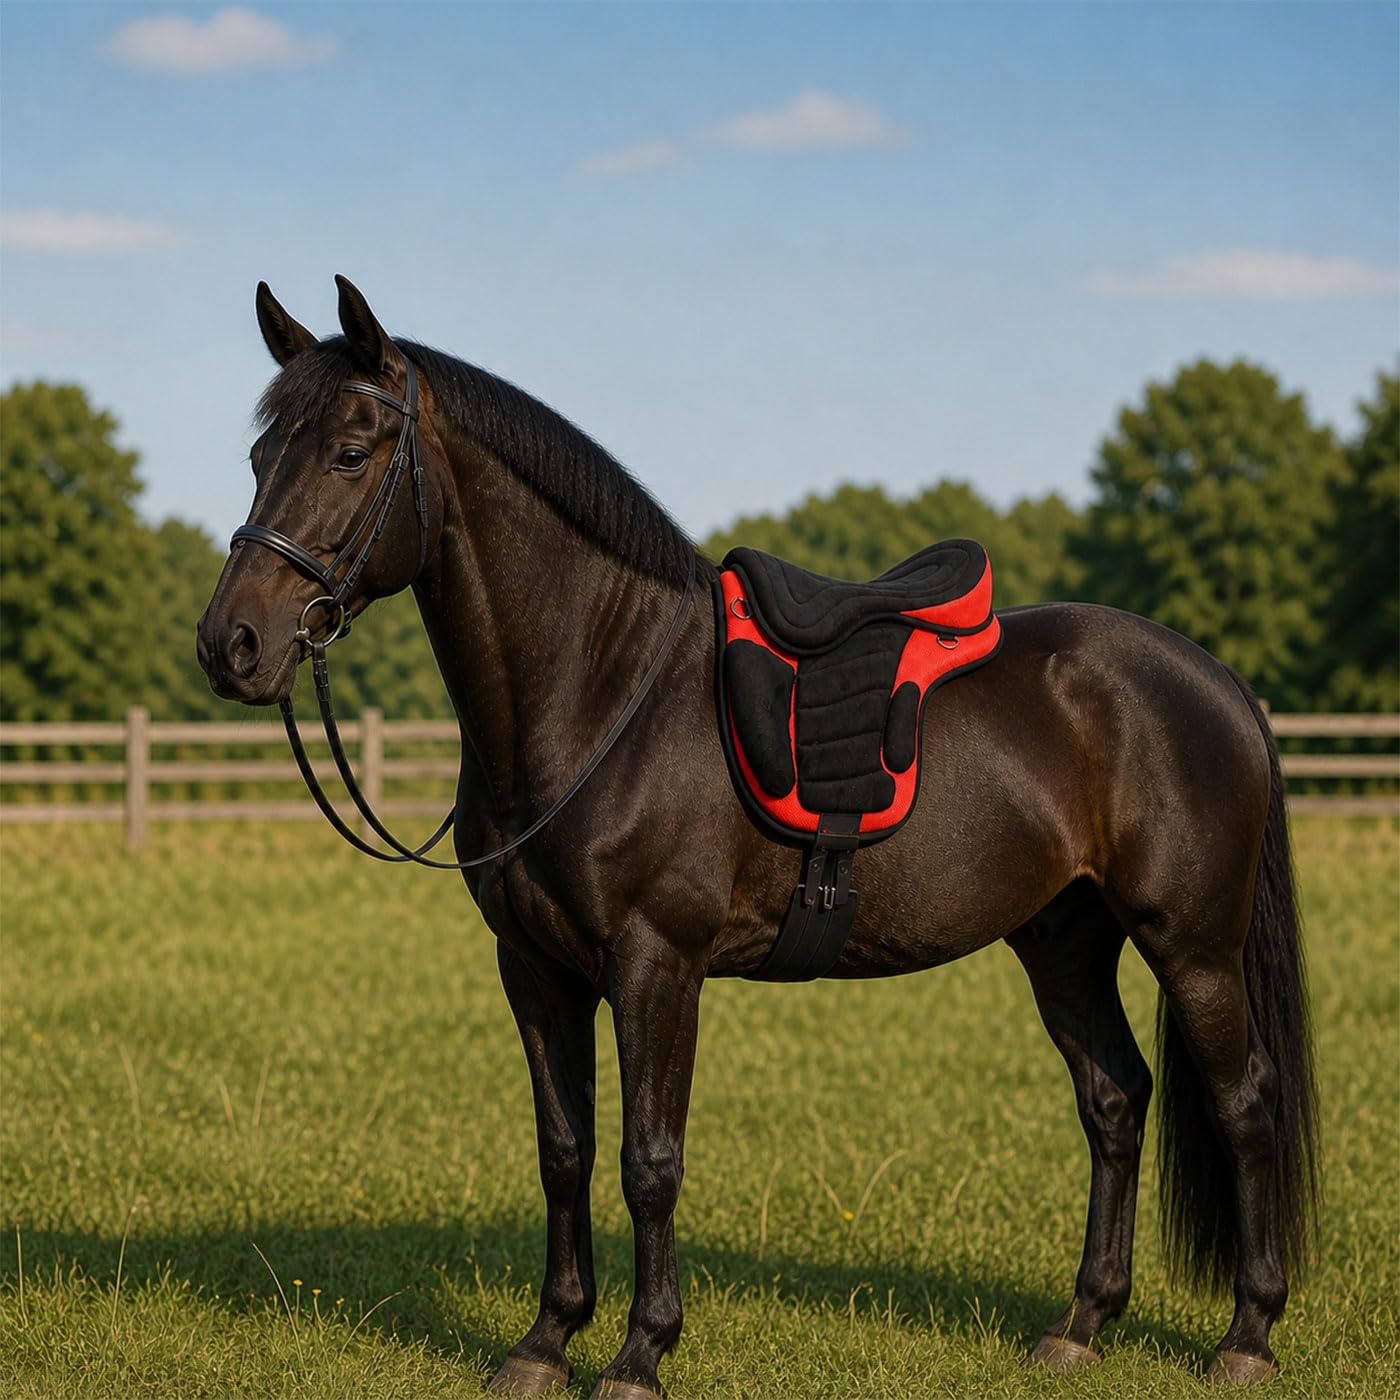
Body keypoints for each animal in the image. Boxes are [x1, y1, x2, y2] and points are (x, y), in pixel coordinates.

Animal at [197, 277, 1318, 1398]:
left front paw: (640, 1352)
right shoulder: (535, 969)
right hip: (1064, 939)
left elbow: (649, 1161)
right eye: (258, 457)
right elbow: (564, 1151)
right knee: (1114, 1100)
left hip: (1191, 945)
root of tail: (1212, 677)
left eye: (350, 452)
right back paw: (1080, 1322)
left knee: (1243, 1101)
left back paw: (1246, 1334)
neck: (604, 689)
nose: (231, 644)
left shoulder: (656, 964)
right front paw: (545, 1339)